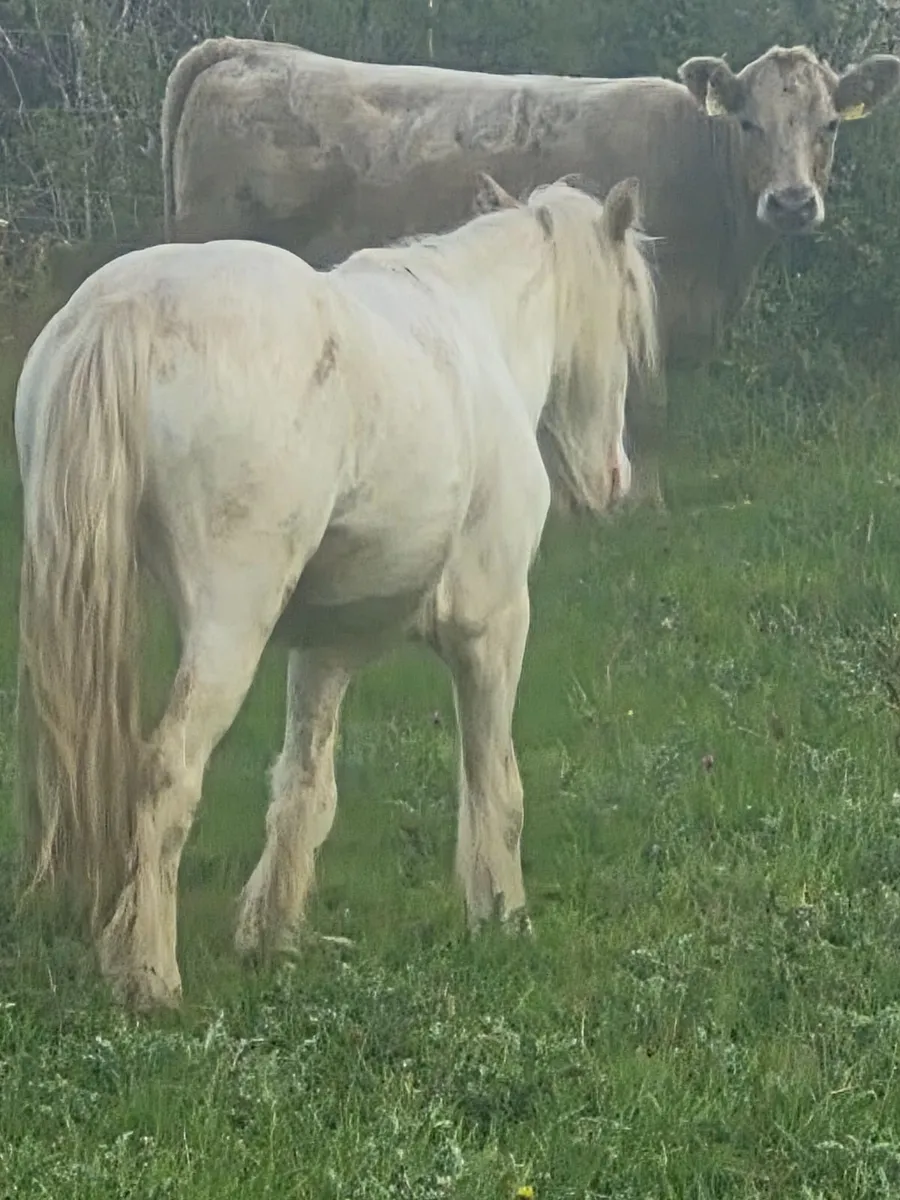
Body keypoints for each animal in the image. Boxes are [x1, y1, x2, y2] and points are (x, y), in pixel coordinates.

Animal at [14, 171, 658, 1010]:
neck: (473, 331)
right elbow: (495, 783)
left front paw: (272, 938)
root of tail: (126, 310)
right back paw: (151, 975)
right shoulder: (492, 627)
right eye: (624, 318)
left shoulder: (326, 647)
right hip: (230, 625)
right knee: (167, 772)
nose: (612, 480)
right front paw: (504, 918)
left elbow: (304, 784)